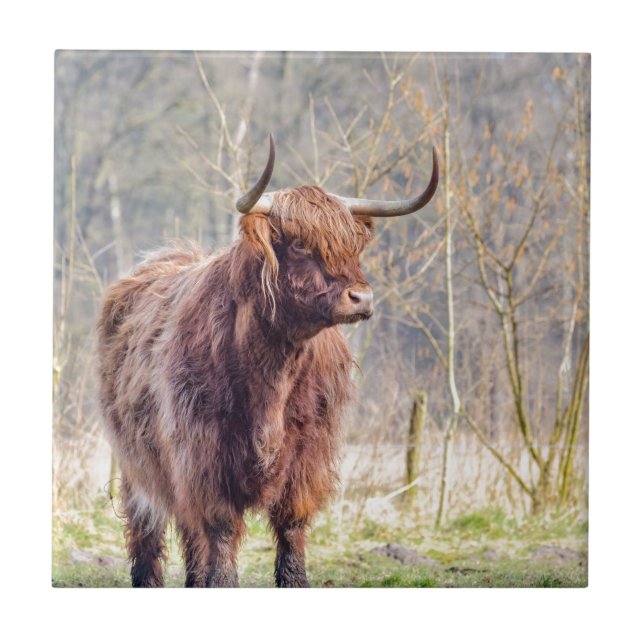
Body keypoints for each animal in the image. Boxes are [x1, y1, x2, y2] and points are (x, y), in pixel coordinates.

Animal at [97, 135, 438, 587]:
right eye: (299, 243)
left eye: (353, 245)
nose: (362, 297)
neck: (273, 369)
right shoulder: (203, 454)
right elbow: (221, 528)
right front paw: (222, 583)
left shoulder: (308, 454)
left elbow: (291, 525)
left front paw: (293, 580)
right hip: (138, 461)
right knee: (148, 526)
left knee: (189, 532)